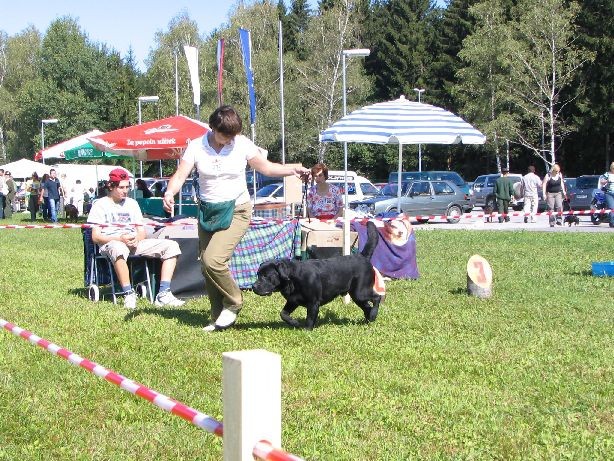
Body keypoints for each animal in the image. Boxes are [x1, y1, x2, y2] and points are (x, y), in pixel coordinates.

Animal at [253, 219, 382, 328]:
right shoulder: (293, 300)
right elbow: (283, 314)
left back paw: (373, 314)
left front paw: (306, 330)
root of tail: (362, 256)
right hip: (356, 295)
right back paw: (369, 318)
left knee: (377, 297)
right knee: (367, 306)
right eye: (258, 275)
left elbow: (310, 319)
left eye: (266, 276)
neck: (293, 279)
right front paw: (294, 323)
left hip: (361, 292)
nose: (253, 286)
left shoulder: (313, 302)